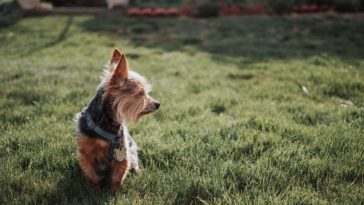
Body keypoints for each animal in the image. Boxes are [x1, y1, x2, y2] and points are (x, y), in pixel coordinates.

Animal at [75, 48, 159, 191]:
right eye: (141, 94)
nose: (158, 104)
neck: (105, 124)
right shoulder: (85, 154)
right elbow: (92, 175)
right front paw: (95, 191)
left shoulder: (123, 154)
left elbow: (117, 177)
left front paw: (113, 193)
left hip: (132, 152)